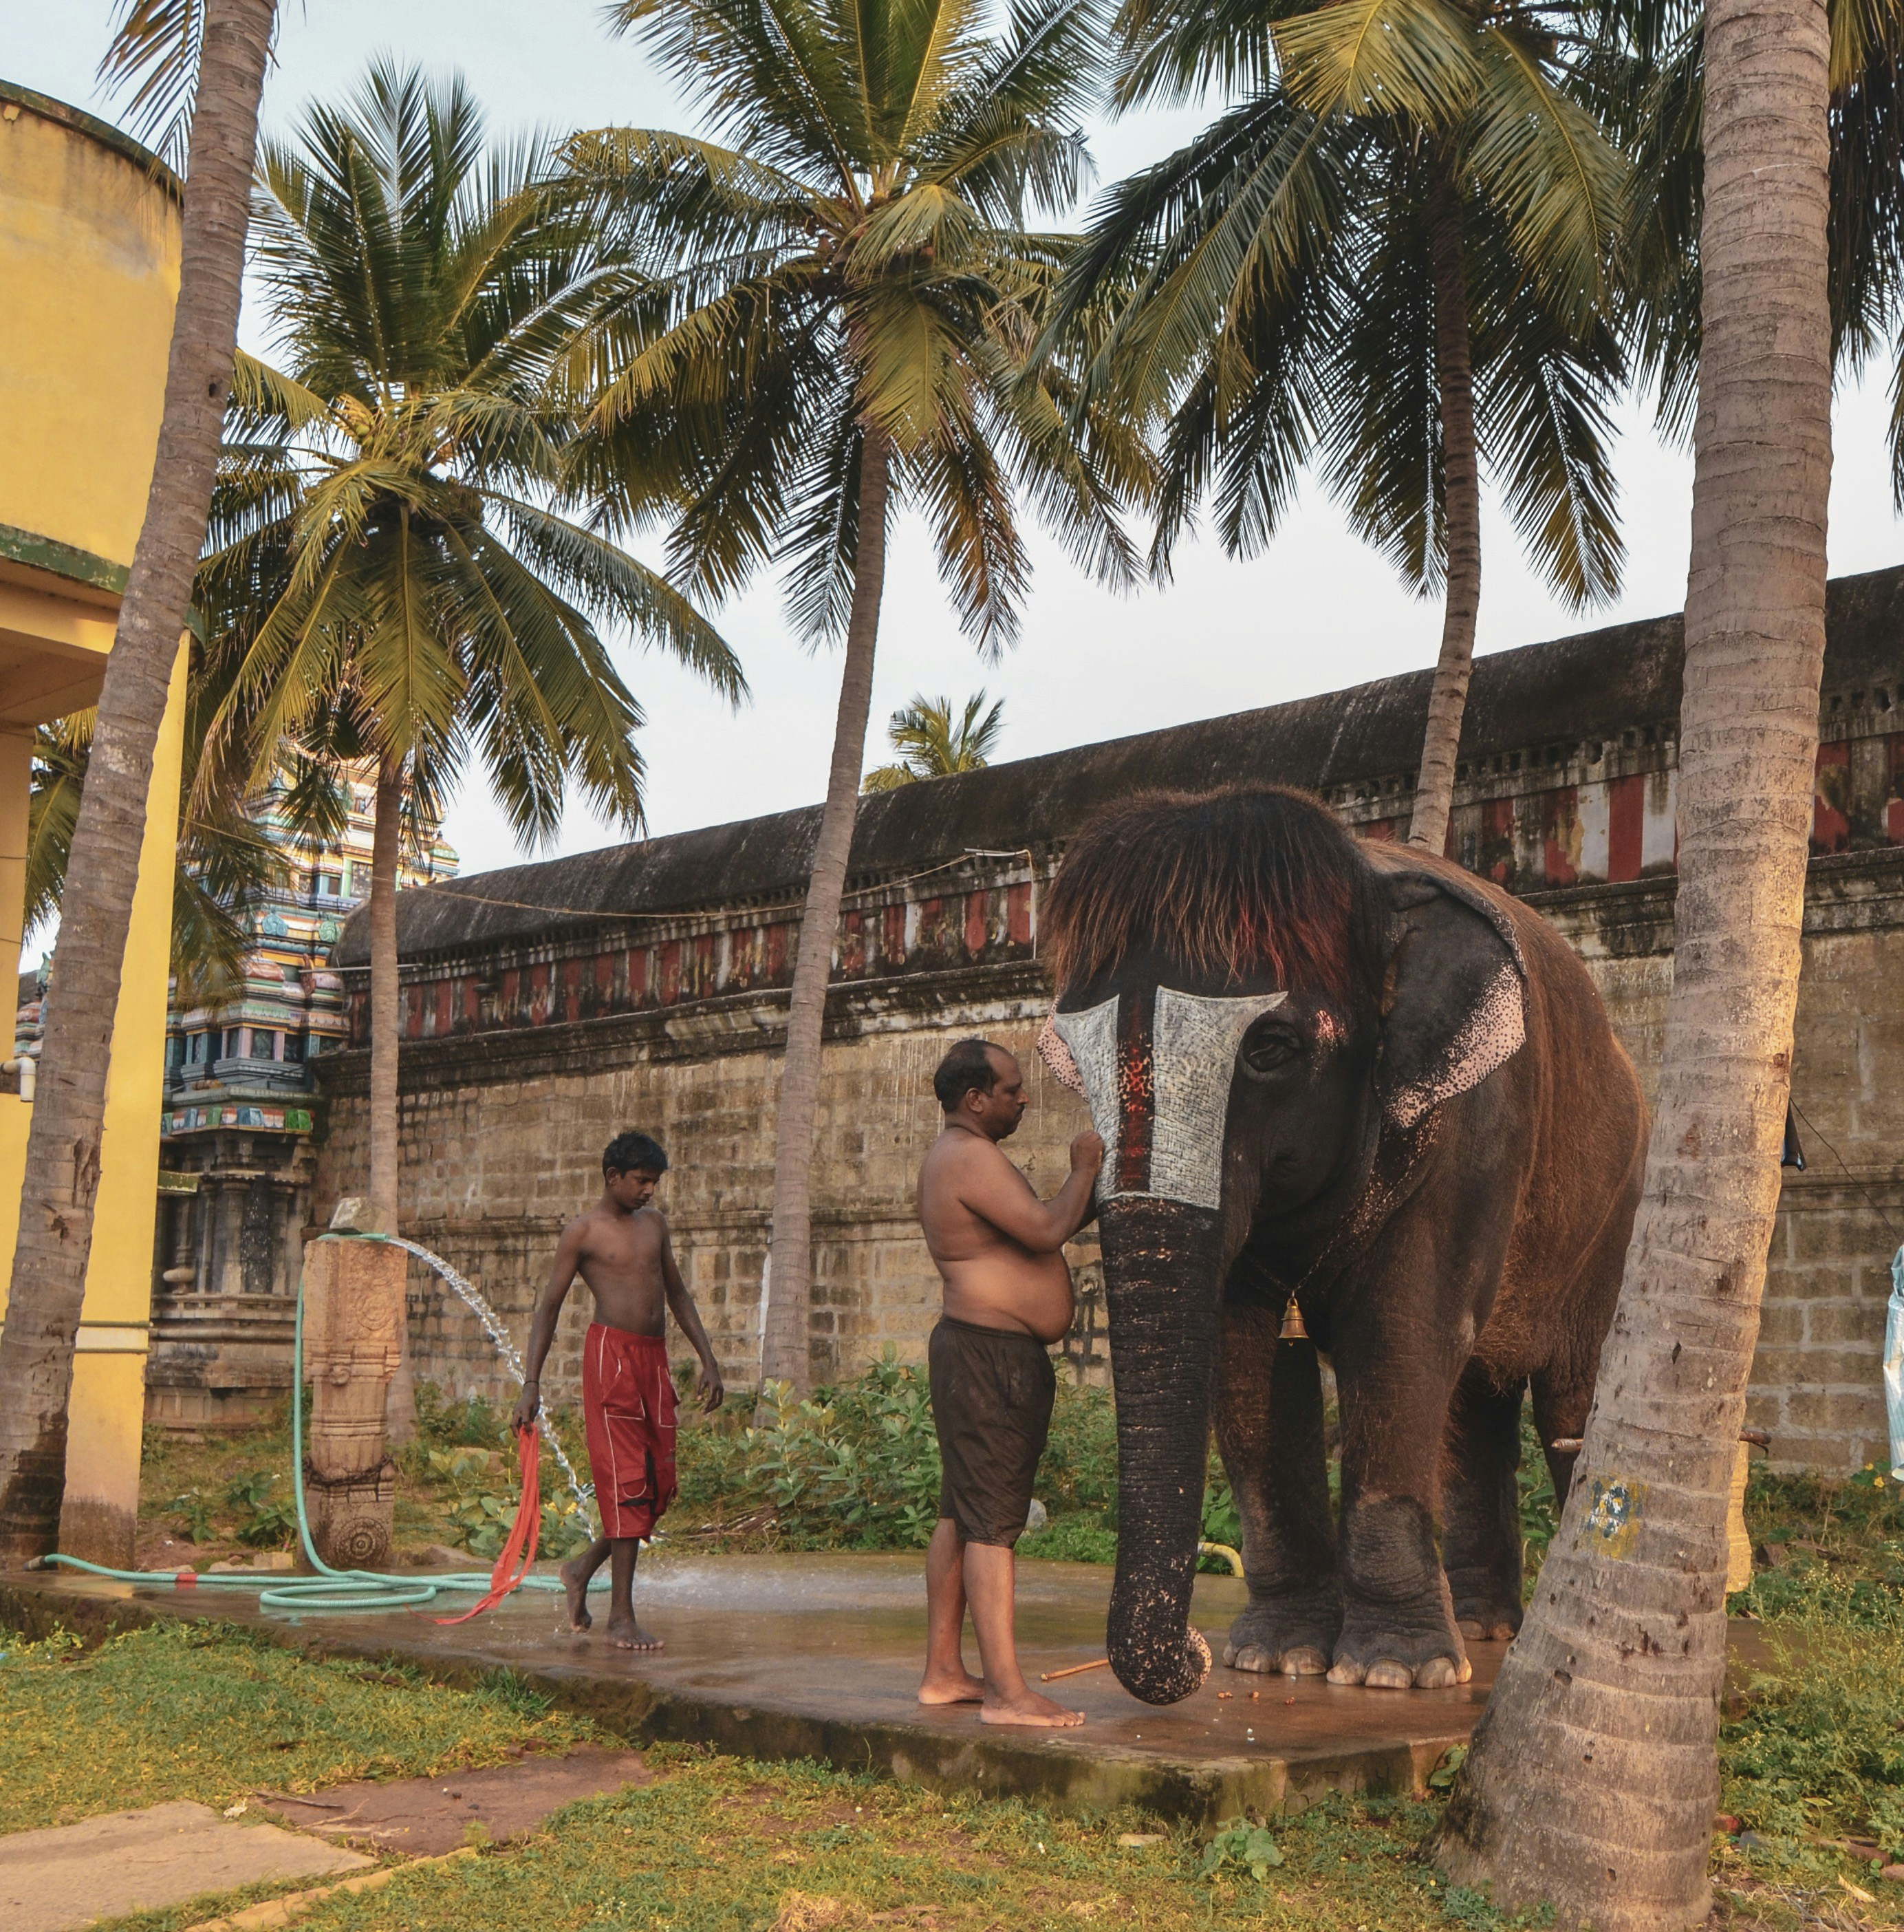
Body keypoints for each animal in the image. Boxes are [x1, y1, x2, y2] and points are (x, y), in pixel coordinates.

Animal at [1036, 785, 1647, 1703]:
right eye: (1074, 1066)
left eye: (1270, 1048)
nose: (1196, 1651)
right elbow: (1244, 1351)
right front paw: (1276, 1658)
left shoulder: (1478, 1118)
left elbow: (1401, 1335)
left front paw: (1393, 1674)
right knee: (1473, 1407)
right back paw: (1480, 1628)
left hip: (1617, 1205)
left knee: (1569, 1399)